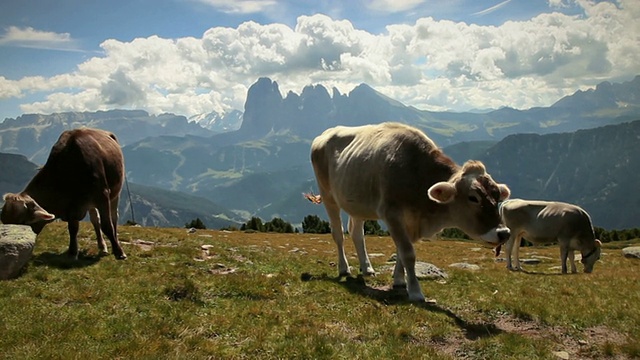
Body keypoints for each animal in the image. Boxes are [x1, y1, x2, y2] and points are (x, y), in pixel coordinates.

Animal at [0, 128, 127, 260]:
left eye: (23, 223)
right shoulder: (71, 206)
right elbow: (73, 228)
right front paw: (72, 252)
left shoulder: (102, 195)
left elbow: (107, 226)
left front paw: (119, 252)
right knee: (95, 220)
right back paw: (102, 246)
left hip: (115, 192)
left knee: (114, 217)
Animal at [308, 122, 512, 302]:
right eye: (473, 198)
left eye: (497, 197)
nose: (504, 233)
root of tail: (325, 134)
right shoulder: (391, 213)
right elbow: (407, 252)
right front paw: (415, 291)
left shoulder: (412, 220)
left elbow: (401, 251)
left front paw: (399, 280)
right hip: (328, 195)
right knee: (338, 234)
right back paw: (344, 268)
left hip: (357, 202)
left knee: (357, 233)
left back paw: (367, 268)